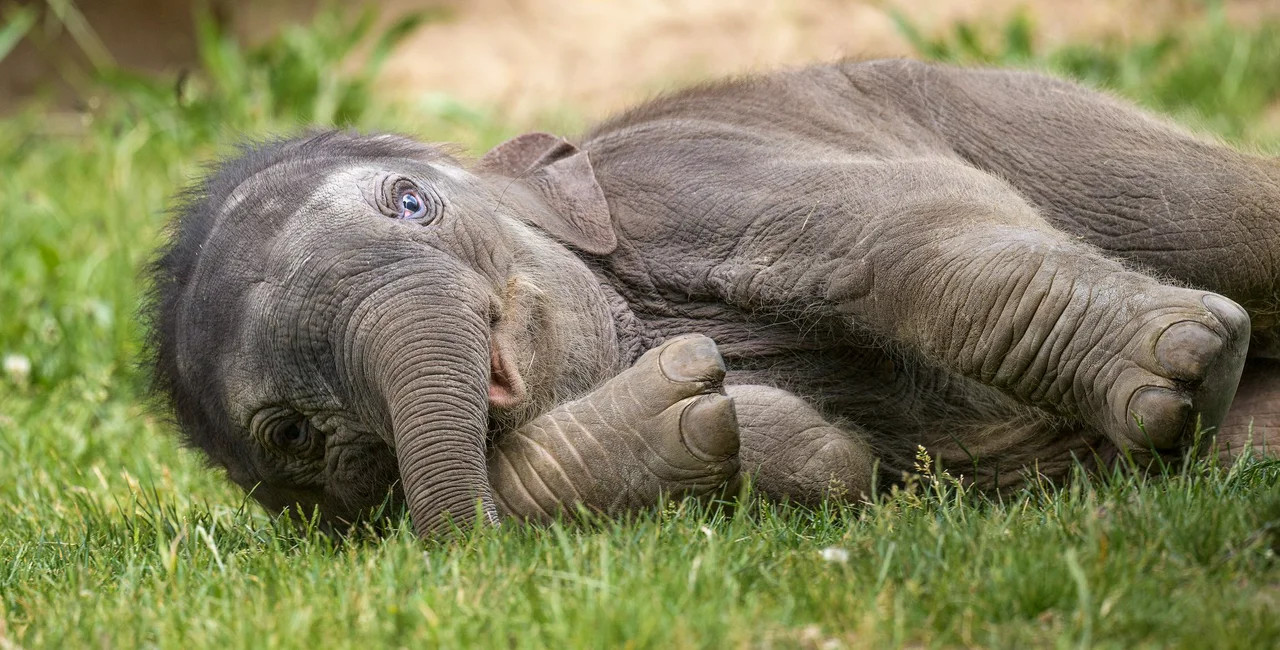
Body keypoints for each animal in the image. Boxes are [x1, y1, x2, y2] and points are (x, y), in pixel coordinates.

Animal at [147, 60, 1280, 534]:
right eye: (293, 436)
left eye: (412, 202)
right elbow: (826, 464)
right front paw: (685, 409)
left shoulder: (687, 174)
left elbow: (898, 233)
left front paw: (1178, 371)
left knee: (1218, 214)